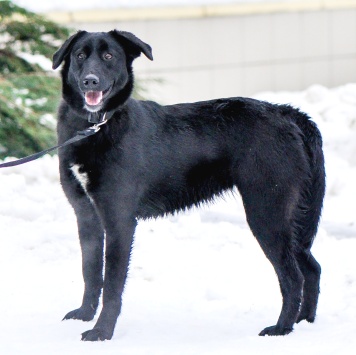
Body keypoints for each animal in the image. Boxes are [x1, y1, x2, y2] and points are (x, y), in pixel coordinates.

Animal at [52, 30, 326, 342]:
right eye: (80, 56)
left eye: (109, 56)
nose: (90, 81)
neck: (95, 128)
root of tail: (287, 112)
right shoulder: (86, 217)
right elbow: (90, 272)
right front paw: (84, 315)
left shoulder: (119, 220)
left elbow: (111, 283)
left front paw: (101, 331)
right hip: (289, 219)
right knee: (312, 268)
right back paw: (304, 322)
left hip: (267, 214)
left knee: (293, 277)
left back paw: (281, 329)